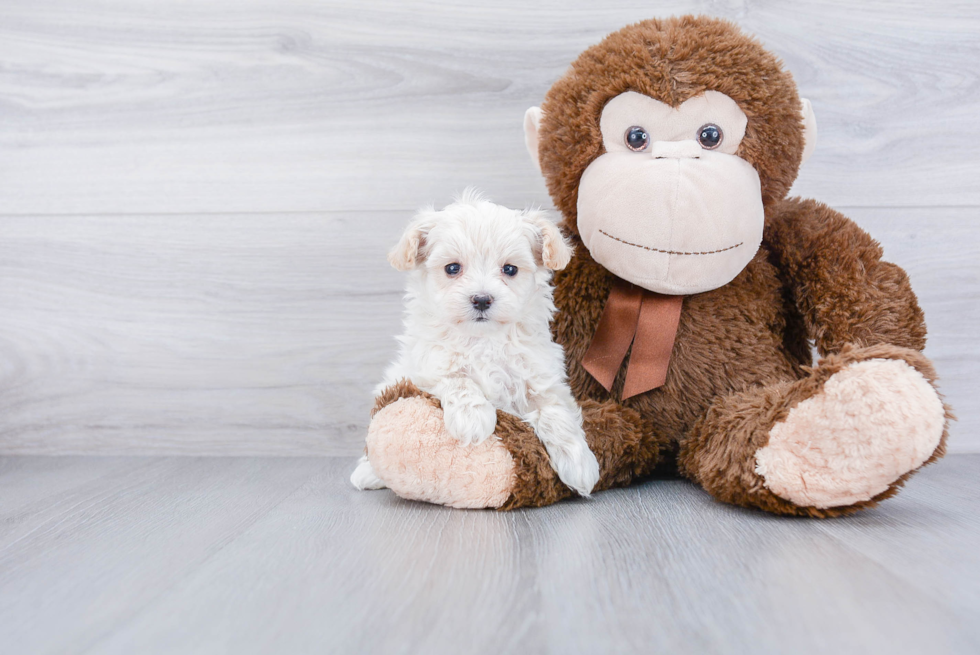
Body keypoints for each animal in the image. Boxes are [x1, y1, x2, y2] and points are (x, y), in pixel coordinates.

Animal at [348, 190, 600, 498]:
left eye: (510, 269)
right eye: (452, 268)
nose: (481, 299)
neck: (482, 340)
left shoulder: (542, 379)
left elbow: (557, 413)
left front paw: (580, 465)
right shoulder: (426, 368)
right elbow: (457, 379)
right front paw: (473, 418)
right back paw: (367, 473)